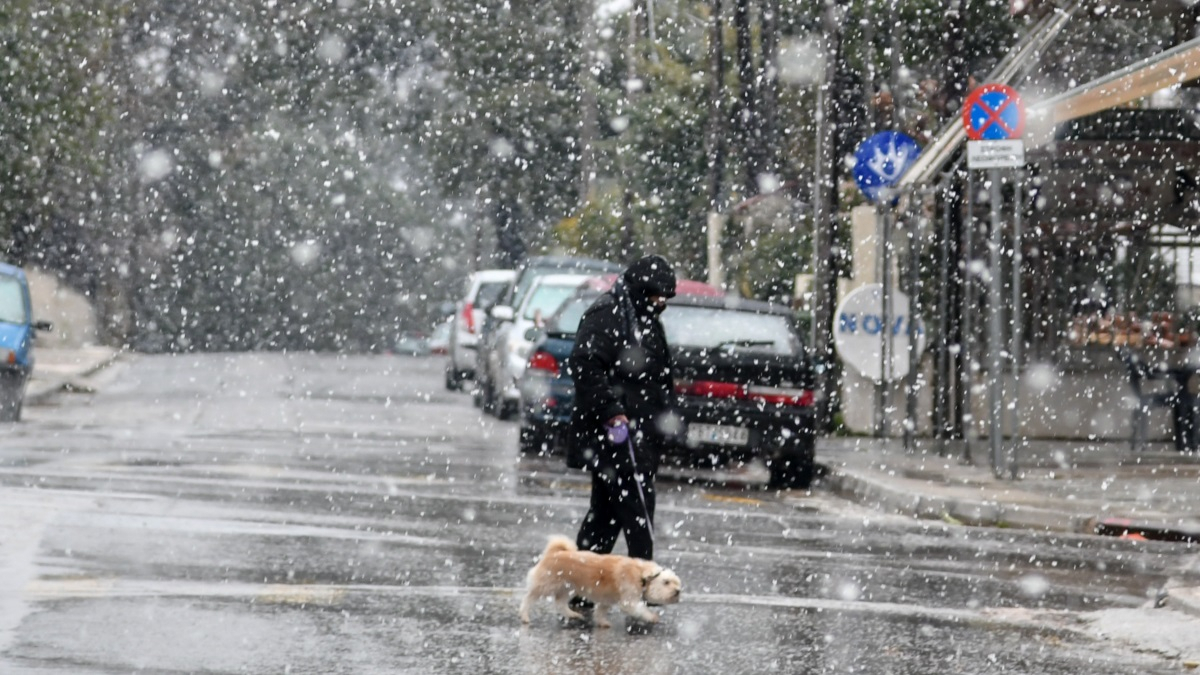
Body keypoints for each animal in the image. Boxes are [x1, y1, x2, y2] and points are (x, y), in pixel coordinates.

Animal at [518, 535, 686, 624]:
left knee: (560, 603)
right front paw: (651, 617)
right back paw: (524, 616)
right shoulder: (629, 601)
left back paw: (572, 614)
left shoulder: (607, 600)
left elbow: (600, 611)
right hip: (546, 585)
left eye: (678, 583)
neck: (642, 576)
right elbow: (640, 609)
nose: (678, 591)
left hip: (568, 588)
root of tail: (555, 553)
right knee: (528, 598)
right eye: (666, 582)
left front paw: (602, 622)